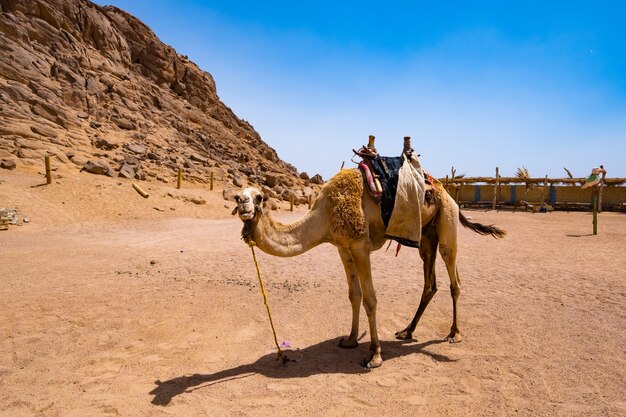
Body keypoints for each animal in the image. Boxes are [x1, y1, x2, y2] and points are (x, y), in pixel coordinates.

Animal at [232, 167, 504, 366]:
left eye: (259, 196)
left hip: (447, 221)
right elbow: (354, 295)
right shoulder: (343, 248)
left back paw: (454, 334)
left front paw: (374, 355)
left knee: (454, 279)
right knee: (430, 283)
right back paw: (406, 331)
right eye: (238, 196)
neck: (324, 214)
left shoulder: (360, 246)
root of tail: (444, 190)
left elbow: (370, 299)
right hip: (426, 236)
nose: (244, 205)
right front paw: (350, 340)